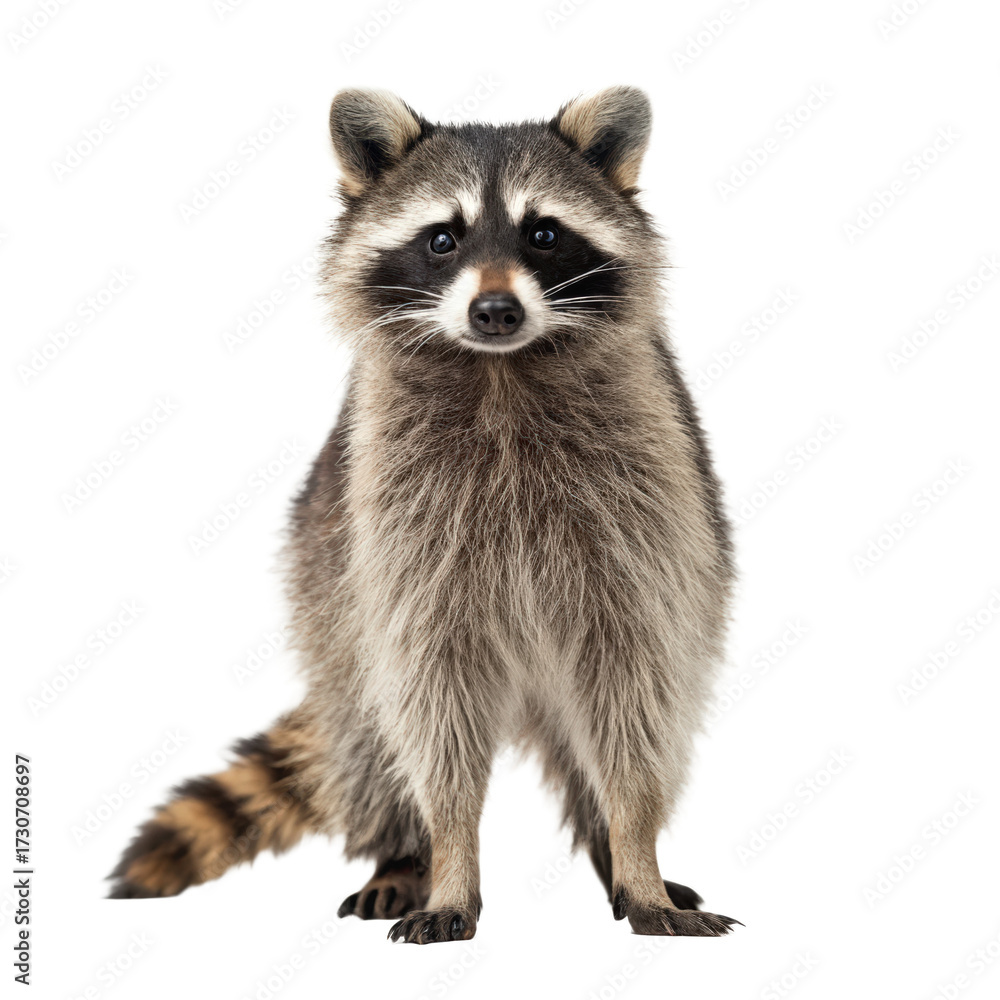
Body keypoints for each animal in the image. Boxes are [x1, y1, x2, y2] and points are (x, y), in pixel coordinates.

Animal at [108, 87, 740, 942]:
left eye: (544, 234)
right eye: (442, 239)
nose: (496, 309)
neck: (500, 371)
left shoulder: (649, 511)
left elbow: (636, 694)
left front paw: (635, 849)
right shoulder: (399, 535)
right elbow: (430, 711)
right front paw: (449, 861)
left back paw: (612, 851)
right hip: (330, 594)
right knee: (367, 732)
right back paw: (403, 856)